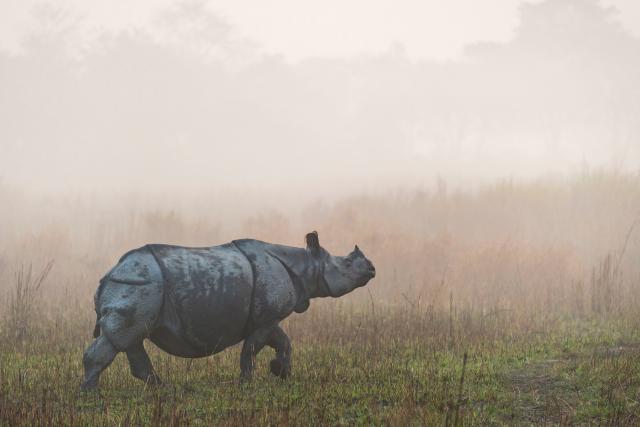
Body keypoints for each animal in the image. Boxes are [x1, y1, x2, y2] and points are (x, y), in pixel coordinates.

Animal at [81, 231, 375, 390]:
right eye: (347, 263)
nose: (372, 269)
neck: (306, 265)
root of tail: (107, 275)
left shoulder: (267, 317)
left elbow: (284, 342)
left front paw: (280, 371)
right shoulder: (265, 319)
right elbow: (251, 350)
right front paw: (247, 382)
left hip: (137, 288)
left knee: (132, 339)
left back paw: (163, 388)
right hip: (140, 285)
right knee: (121, 339)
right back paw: (90, 396)